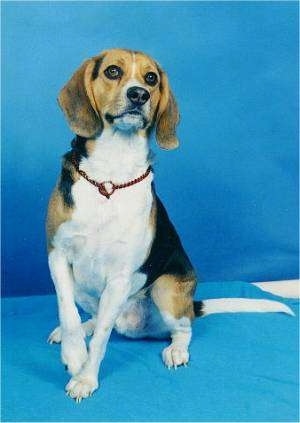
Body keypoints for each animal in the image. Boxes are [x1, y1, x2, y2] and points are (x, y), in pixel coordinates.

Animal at [45, 48, 294, 402]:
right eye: (112, 71)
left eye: (151, 78)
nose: (139, 94)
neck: (111, 175)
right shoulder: (57, 255)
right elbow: (67, 314)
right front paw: (74, 354)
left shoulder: (120, 276)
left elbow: (103, 339)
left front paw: (86, 377)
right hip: (84, 287)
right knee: (96, 316)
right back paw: (85, 328)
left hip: (166, 290)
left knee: (181, 329)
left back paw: (176, 350)